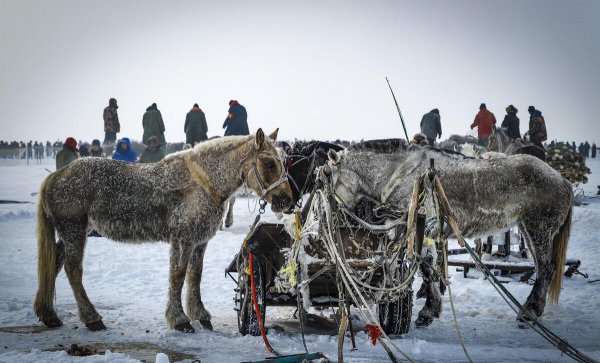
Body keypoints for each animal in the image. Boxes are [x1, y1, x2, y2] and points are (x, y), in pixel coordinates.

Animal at [35, 129, 292, 334]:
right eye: (269, 164)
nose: (286, 199)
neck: (203, 182)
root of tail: (55, 176)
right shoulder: (183, 239)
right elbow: (177, 276)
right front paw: (180, 320)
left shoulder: (199, 241)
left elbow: (195, 276)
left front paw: (200, 315)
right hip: (74, 231)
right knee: (72, 270)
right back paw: (91, 318)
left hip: (72, 233)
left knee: (55, 262)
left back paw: (49, 314)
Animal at [328, 141, 572, 326]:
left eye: (328, 175)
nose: (328, 212)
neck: (401, 174)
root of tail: (562, 179)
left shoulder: (423, 228)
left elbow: (426, 266)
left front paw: (428, 311)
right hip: (528, 230)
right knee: (542, 269)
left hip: (538, 230)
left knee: (546, 268)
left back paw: (529, 312)